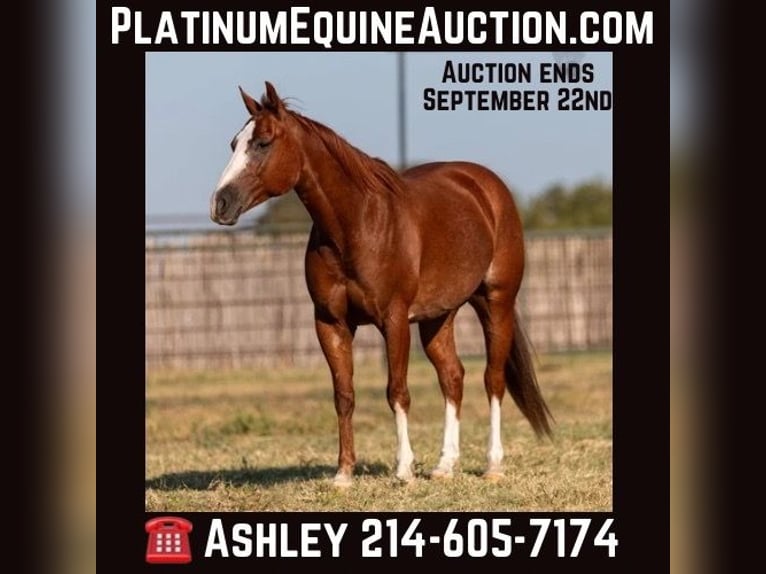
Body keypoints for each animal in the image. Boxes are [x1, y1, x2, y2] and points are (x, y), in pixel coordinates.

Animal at [210, 81, 553, 487]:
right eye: (234, 143)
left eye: (263, 143)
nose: (220, 203)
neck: (356, 223)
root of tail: (487, 186)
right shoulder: (330, 323)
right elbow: (344, 394)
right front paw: (343, 474)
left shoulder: (394, 320)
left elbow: (397, 392)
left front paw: (403, 469)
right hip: (439, 317)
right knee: (453, 377)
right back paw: (444, 466)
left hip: (495, 302)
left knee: (493, 379)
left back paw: (493, 465)